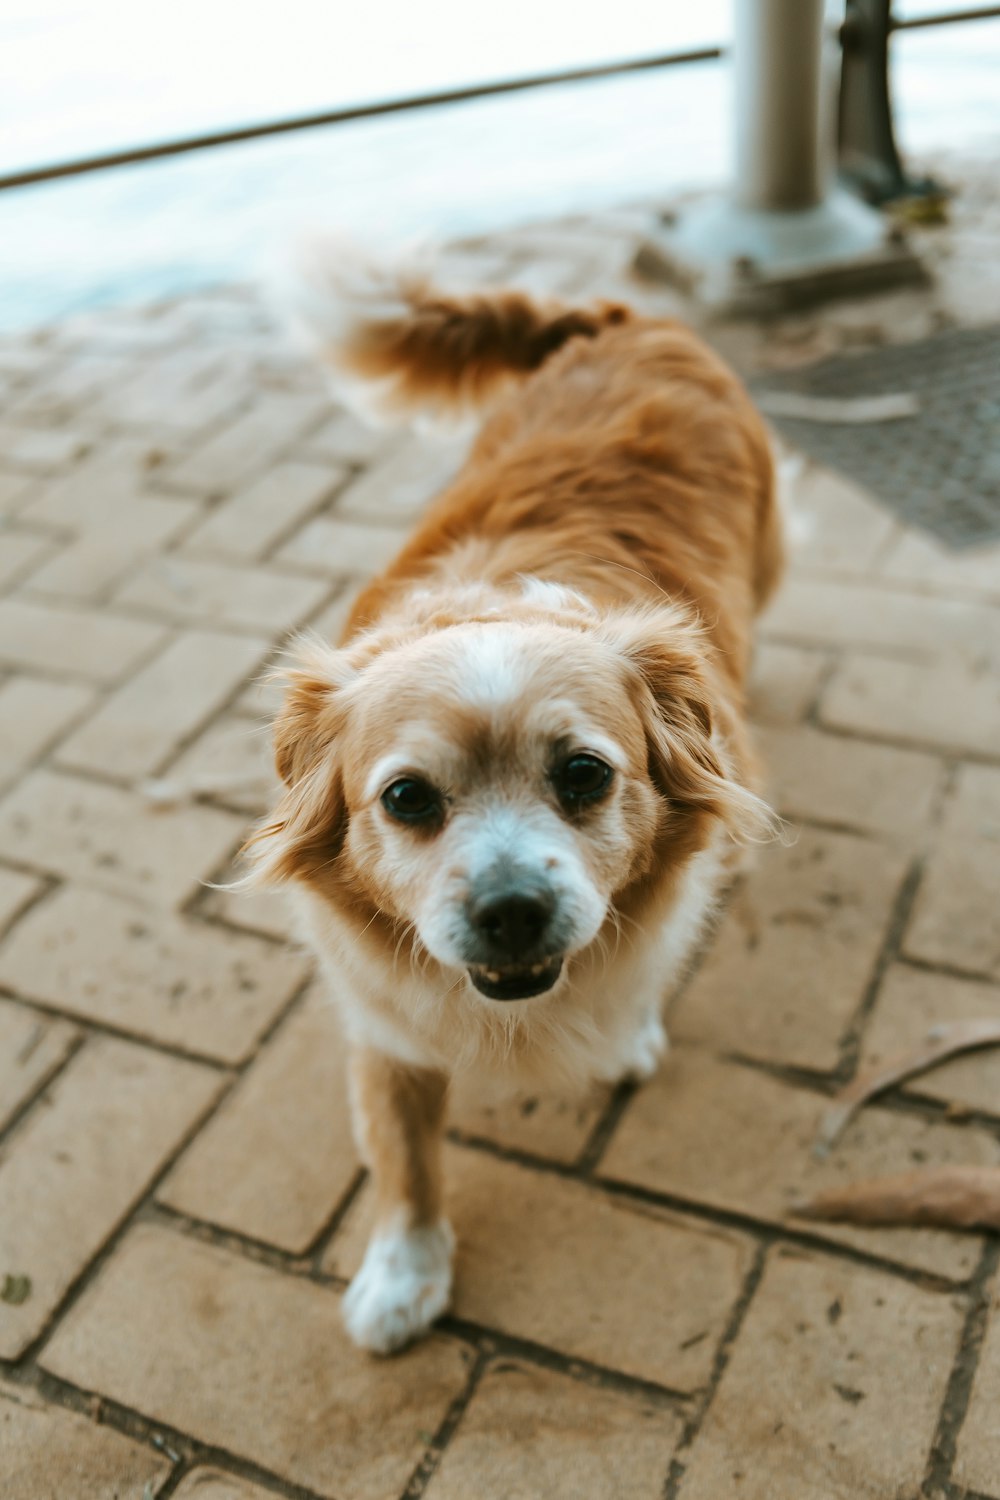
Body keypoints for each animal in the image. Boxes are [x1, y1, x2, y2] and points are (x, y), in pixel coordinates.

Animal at [245, 243, 785, 1350]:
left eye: (584, 775)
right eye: (407, 798)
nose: (511, 914)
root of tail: (615, 319)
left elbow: (645, 966)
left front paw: (629, 1033)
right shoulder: (385, 1022)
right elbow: (404, 1156)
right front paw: (403, 1275)